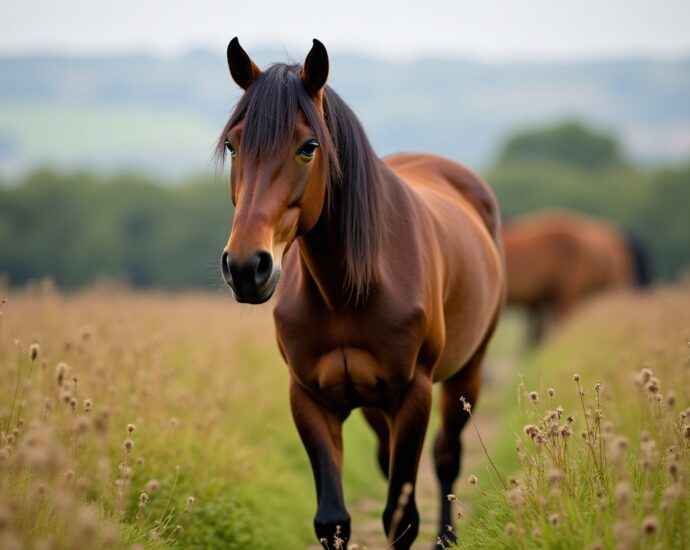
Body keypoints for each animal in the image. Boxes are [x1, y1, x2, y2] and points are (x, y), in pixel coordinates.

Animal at [218, 38, 505, 549]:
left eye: (309, 147)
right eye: (233, 144)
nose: (247, 267)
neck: (346, 292)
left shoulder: (412, 394)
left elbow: (401, 516)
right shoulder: (310, 398)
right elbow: (332, 520)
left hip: (466, 372)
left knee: (447, 457)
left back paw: (447, 536)